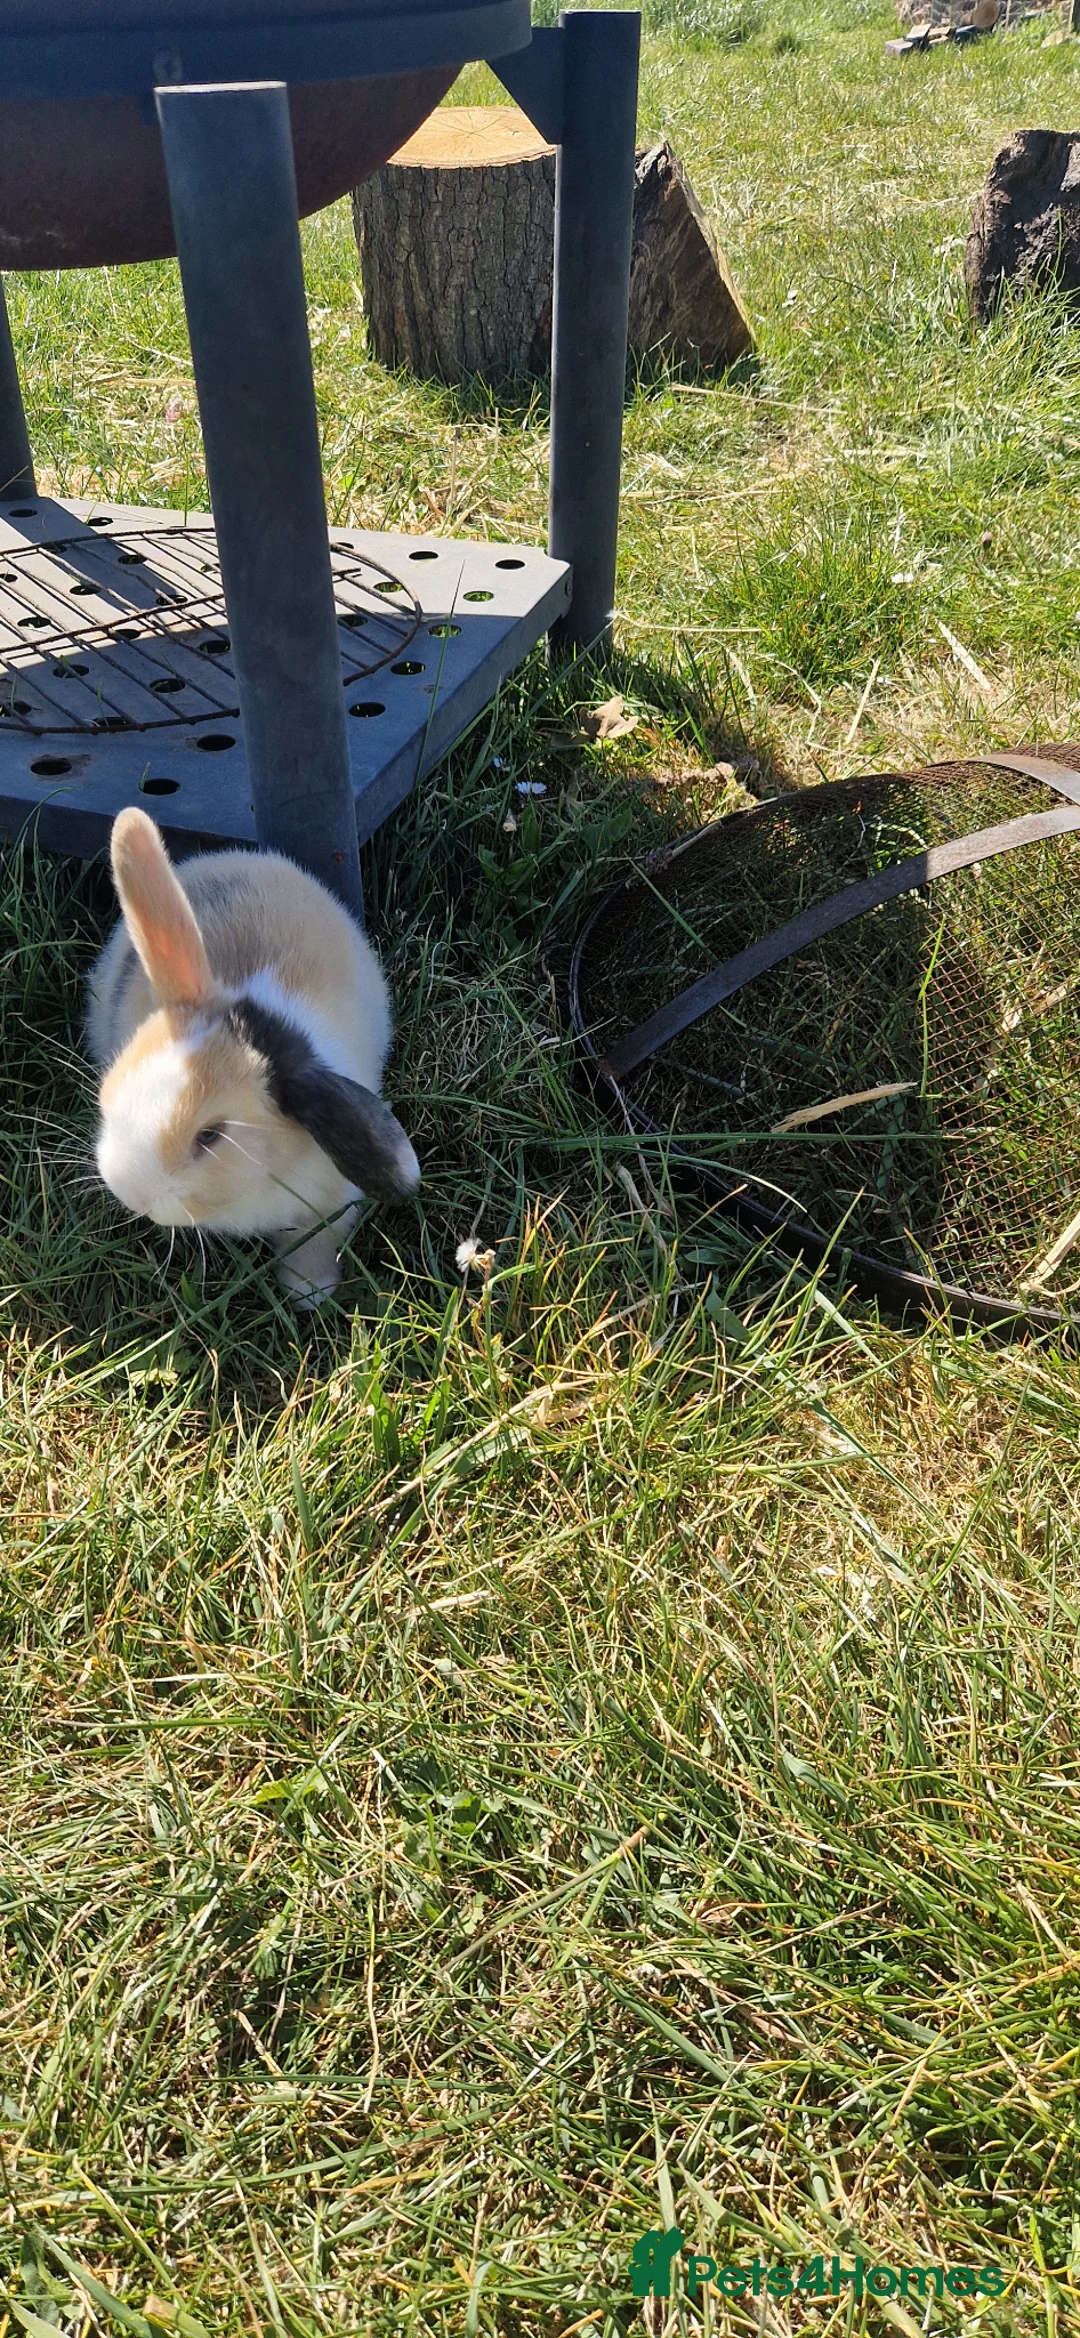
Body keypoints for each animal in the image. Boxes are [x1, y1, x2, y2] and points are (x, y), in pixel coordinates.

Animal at [86, 807, 419, 1302]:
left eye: (210, 1135)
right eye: (110, 1095)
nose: (132, 1195)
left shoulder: (325, 1210)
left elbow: (312, 1247)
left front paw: (308, 1295)